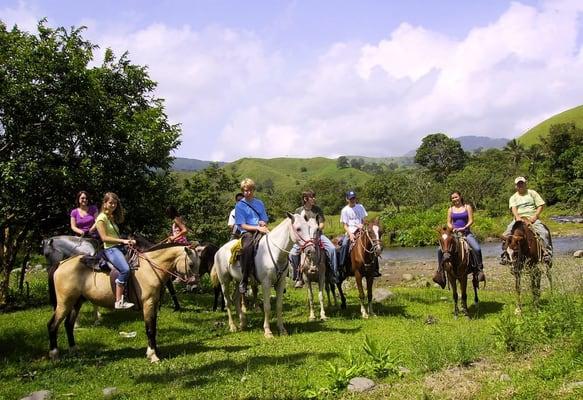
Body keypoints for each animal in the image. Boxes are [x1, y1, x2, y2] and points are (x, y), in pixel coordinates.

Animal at [46, 244, 201, 362]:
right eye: (191, 264)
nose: (195, 286)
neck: (150, 269)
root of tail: (61, 264)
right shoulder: (148, 304)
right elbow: (150, 329)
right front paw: (153, 356)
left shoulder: (154, 305)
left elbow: (153, 328)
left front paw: (154, 351)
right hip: (64, 303)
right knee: (53, 325)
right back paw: (54, 355)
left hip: (76, 302)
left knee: (68, 325)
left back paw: (74, 350)